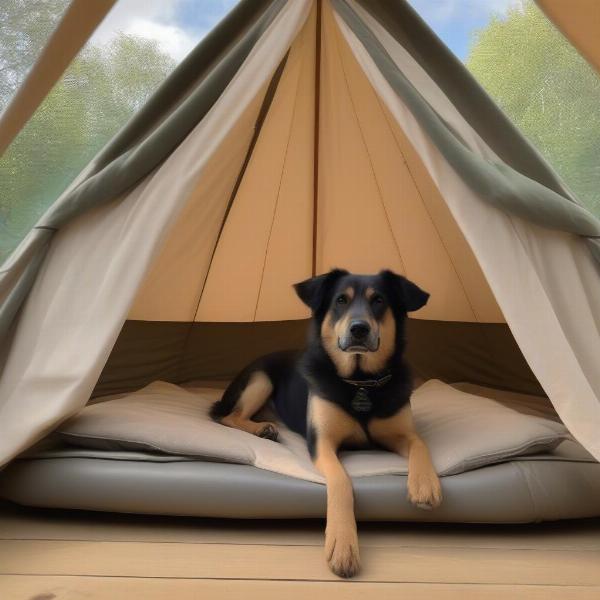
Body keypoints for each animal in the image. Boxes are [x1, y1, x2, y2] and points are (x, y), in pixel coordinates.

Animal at [211, 270, 440, 576]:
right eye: (341, 300)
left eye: (379, 300)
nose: (359, 329)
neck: (360, 382)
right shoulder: (322, 442)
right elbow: (342, 482)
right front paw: (343, 546)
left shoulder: (402, 433)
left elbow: (420, 444)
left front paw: (425, 485)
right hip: (260, 379)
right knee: (227, 416)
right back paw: (262, 429)